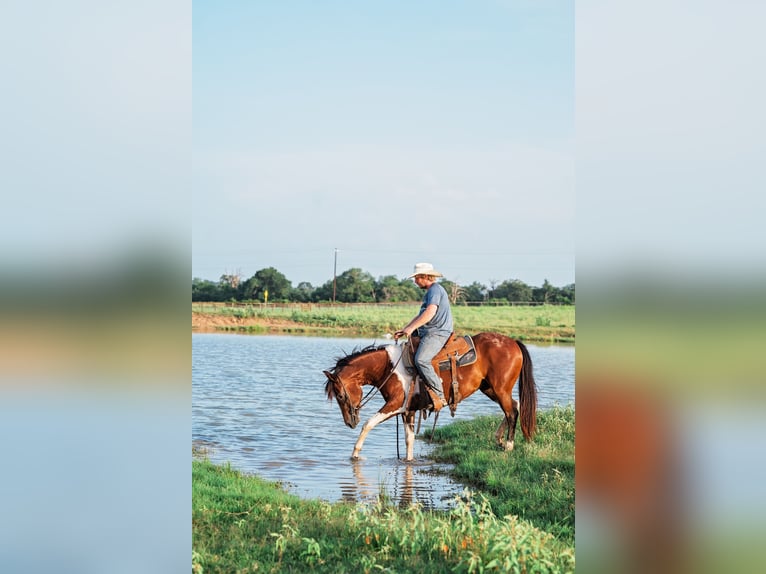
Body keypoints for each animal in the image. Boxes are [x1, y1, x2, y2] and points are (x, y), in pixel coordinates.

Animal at [323, 332, 537, 461]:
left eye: (340, 395)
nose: (350, 422)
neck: (389, 368)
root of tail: (513, 342)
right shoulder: (408, 410)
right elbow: (409, 439)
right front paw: (408, 462)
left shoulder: (395, 405)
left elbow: (369, 423)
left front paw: (355, 453)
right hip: (490, 388)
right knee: (515, 406)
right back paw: (499, 439)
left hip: (500, 389)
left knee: (511, 411)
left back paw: (508, 445)